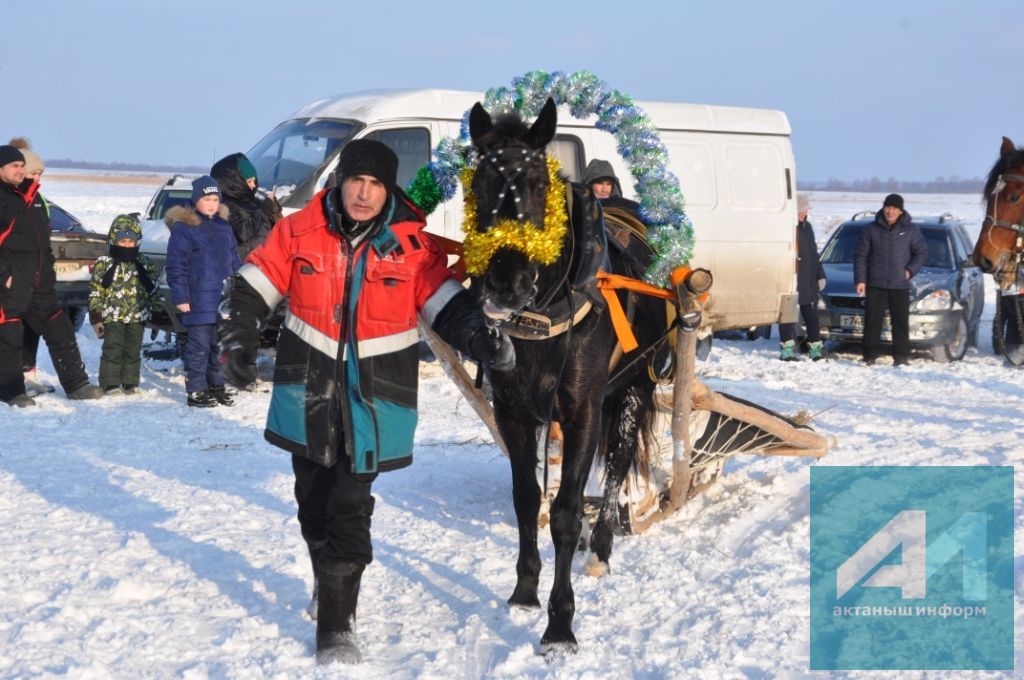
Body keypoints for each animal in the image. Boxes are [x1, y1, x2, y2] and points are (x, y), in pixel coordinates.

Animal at [468, 99, 667, 655]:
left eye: (540, 183)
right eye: (478, 184)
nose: (506, 283)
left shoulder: (582, 410)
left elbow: (565, 511)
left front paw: (559, 623)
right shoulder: (513, 409)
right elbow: (527, 499)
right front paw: (524, 591)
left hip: (632, 391)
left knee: (617, 466)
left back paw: (599, 547)